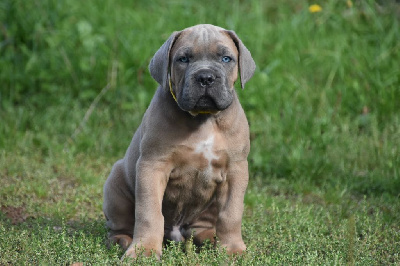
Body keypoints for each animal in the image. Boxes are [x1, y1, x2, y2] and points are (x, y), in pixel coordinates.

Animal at [103, 23, 256, 258]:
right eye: (183, 59)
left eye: (226, 59)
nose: (205, 77)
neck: (203, 118)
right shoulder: (152, 166)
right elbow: (149, 213)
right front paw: (144, 251)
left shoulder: (235, 171)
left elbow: (231, 214)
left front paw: (233, 249)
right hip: (115, 186)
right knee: (120, 225)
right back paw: (122, 240)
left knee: (205, 226)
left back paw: (209, 240)